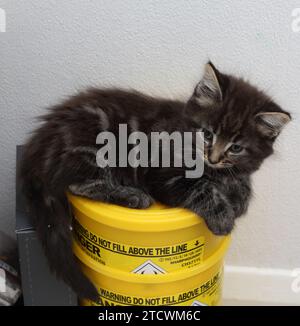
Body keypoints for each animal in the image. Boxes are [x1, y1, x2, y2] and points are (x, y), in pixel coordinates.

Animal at [19, 62, 290, 300]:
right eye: (207, 134)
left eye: (236, 147)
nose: (213, 157)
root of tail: (37, 147)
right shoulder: (162, 173)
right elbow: (200, 188)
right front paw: (223, 216)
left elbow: (239, 180)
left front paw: (240, 194)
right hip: (95, 144)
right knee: (78, 185)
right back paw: (132, 196)